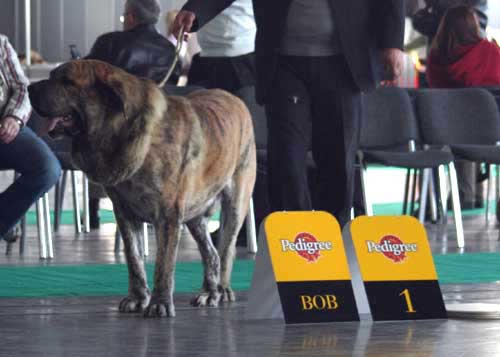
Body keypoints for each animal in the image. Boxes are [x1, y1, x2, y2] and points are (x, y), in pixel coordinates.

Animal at [28, 59, 256, 318]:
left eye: (67, 81)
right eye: (52, 76)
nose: (30, 88)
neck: (119, 130)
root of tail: (235, 99)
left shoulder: (168, 216)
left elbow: (163, 264)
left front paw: (159, 303)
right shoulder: (125, 213)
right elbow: (134, 258)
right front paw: (137, 299)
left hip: (235, 204)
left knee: (226, 249)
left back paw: (223, 290)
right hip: (195, 216)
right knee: (212, 253)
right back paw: (209, 292)